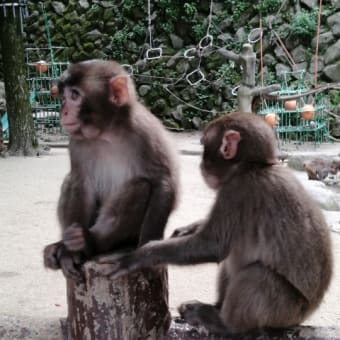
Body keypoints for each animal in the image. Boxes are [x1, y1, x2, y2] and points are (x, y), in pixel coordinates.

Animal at [43, 60, 179, 282]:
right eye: (63, 97)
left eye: (75, 95)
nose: (63, 112)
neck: (109, 133)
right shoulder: (77, 142)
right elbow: (81, 184)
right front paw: (70, 254)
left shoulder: (146, 132)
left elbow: (162, 182)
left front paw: (145, 253)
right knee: (71, 180)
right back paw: (65, 246)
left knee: (141, 186)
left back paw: (92, 241)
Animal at [99, 111, 334, 334]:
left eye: (205, 145)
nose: (201, 163)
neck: (254, 167)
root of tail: (306, 313)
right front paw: (188, 229)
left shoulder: (237, 189)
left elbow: (213, 246)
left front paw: (137, 257)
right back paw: (216, 307)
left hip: (286, 311)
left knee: (257, 275)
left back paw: (223, 323)